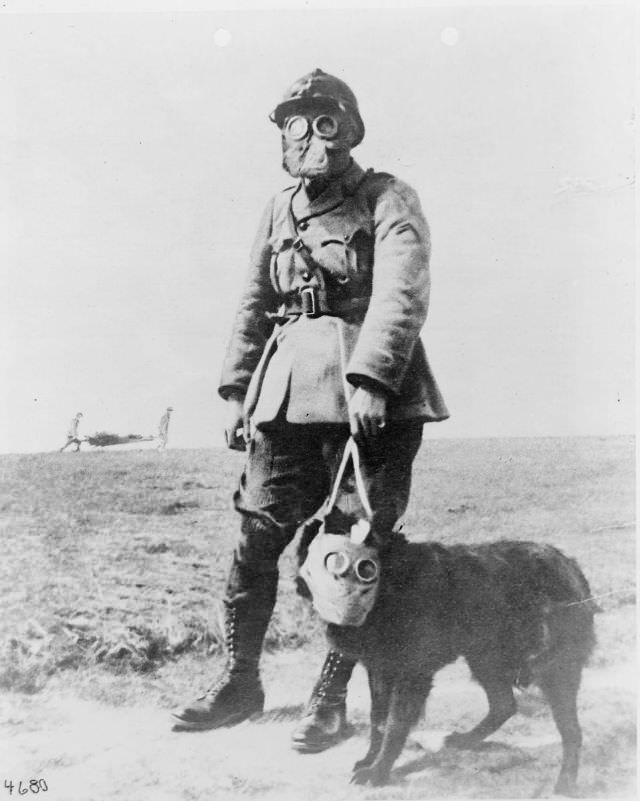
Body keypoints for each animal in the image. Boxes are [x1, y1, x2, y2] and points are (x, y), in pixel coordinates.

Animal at [302, 532, 596, 792]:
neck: (386, 586)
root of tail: (570, 566)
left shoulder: (411, 675)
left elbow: (394, 725)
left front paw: (378, 772)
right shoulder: (380, 671)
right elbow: (378, 722)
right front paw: (370, 760)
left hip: (552, 669)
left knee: (571, 732)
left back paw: (565, 784)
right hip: (483, 656)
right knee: (504, 705)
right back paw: (467, 739)